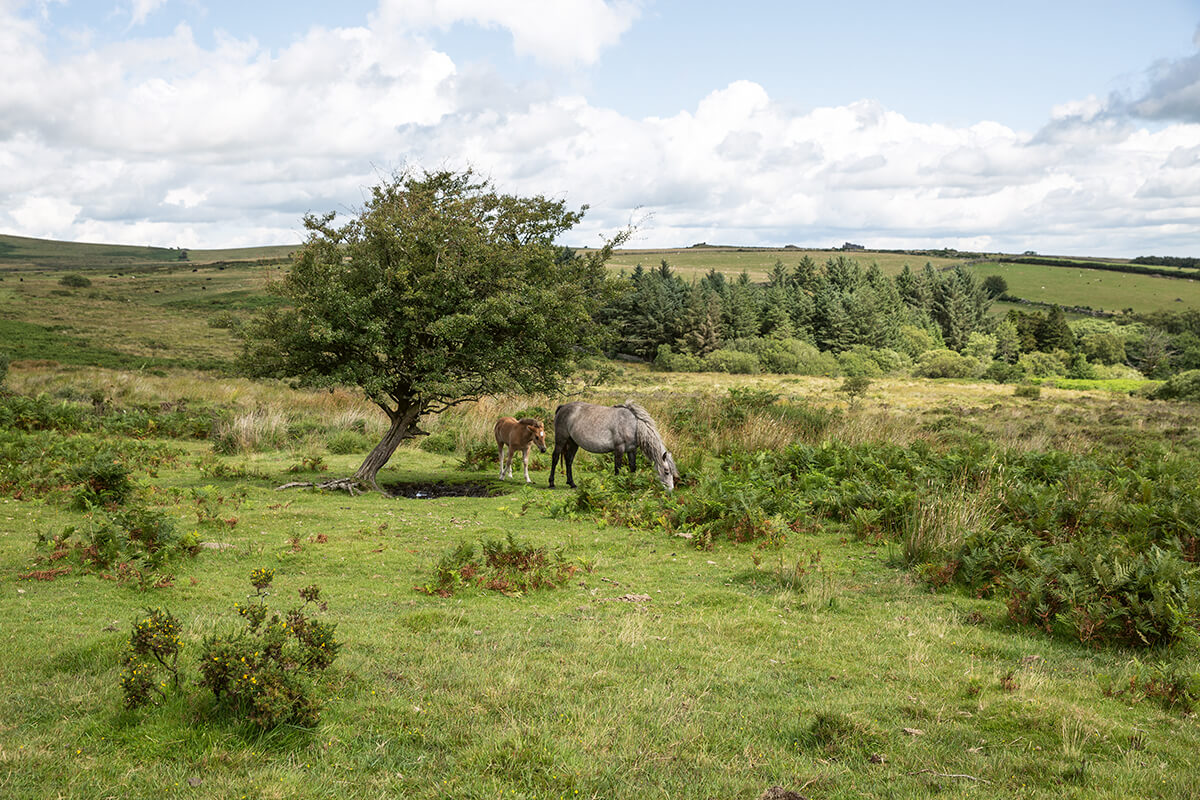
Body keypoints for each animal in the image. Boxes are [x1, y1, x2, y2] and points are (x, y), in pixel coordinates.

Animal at [549, 402, 681, 491]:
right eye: (666, 472)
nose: (670, 490)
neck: (633, 425)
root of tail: (563, 407)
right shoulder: (619, 449)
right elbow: (618, 468)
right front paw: (617, 485)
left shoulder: (631, 450)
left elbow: (633, 468)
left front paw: (631, 485)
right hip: (561, 440)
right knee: (555, 458)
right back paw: (551, 483)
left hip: (573, 443)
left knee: (569, 460)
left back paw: (572, 483)